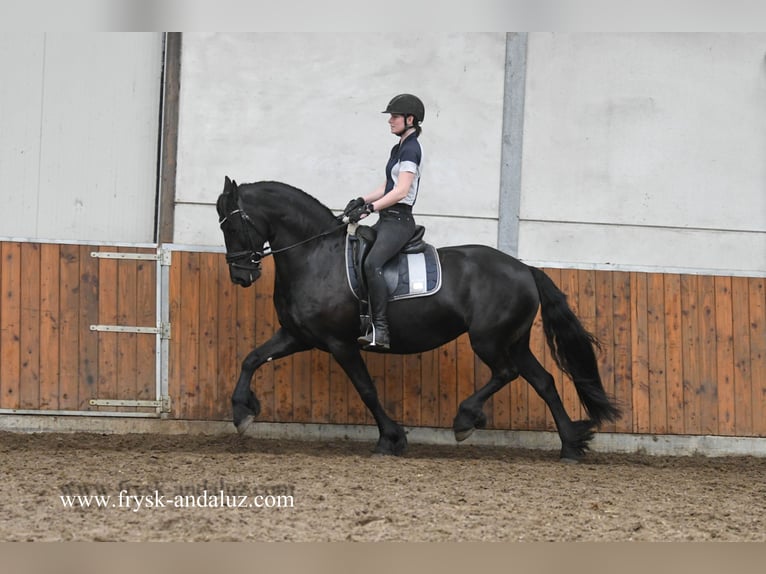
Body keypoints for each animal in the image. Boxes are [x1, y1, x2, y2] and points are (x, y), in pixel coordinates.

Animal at [216, 177, 621, 461]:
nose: (240, 276)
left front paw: (391, 438)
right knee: (544, 382)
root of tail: (524, 268)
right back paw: (570, 446)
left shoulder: (340, 343)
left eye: (232, 227)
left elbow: (366, 389)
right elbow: (251, 358)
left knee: (507, 373)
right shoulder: (297, 335)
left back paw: (466, 420)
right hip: (515, 340)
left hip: (488, 339)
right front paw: (241, 410)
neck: (315, 254)